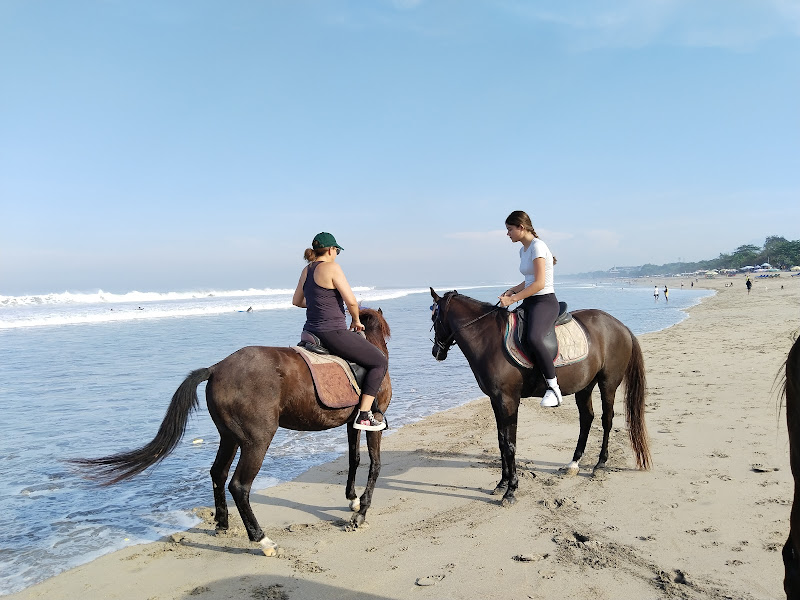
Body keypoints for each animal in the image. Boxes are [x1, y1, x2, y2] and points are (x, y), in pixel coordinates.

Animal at [73, 308, 392, 556]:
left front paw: (352, 499)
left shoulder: (352, 424)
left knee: (218, 473)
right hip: (256, 441)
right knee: (239, 485)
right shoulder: (373, 421)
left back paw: (222, 523)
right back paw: (261, 539)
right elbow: (375, 464)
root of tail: (216, 368)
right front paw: (361, 512)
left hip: (229, 437)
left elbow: (354, 459)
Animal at [432, 290, 648, 506]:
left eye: (434, 317)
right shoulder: (496, 400)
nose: (436, 352)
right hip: (585, 386)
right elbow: (501, 441)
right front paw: (502, 483)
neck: (489, 340)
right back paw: (574, 463)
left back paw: (600, 464)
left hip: (608, 384)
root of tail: (620, 325)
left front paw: (511, 490)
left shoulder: (509, 400)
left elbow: (510, 445)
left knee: (607, 420)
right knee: (587, 418)